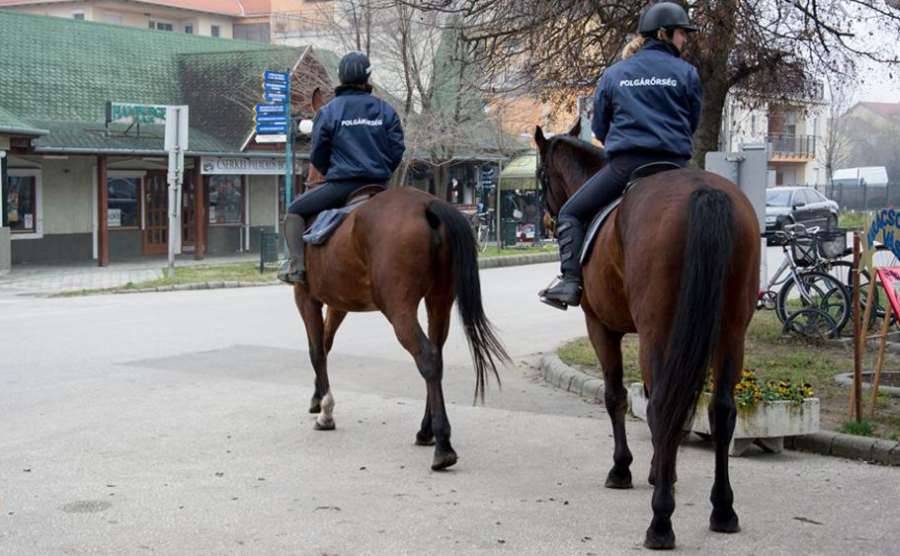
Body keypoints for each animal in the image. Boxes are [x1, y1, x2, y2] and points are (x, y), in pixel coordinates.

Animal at [292, 92, 510, 474]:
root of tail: (428, 205)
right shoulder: (338, 303)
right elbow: (327, 344)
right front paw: (318, 398)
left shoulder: (307, 297)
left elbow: (316, 348)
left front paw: (325, 411)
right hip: (439, 300)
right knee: (436, 356)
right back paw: (428, 431)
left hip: (398, 307)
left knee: (426, 357)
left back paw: (443, 446)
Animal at [536, 119, 760, 548]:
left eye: (540, 176)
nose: (546, 223)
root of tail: (704, 192)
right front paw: (661, 471)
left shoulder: (601, 327)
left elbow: (616, 397)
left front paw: (625, 469)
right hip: (731, 332)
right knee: (721, 409)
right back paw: (723, 509)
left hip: (658, 330)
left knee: (661, 407)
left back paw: (660, 522)